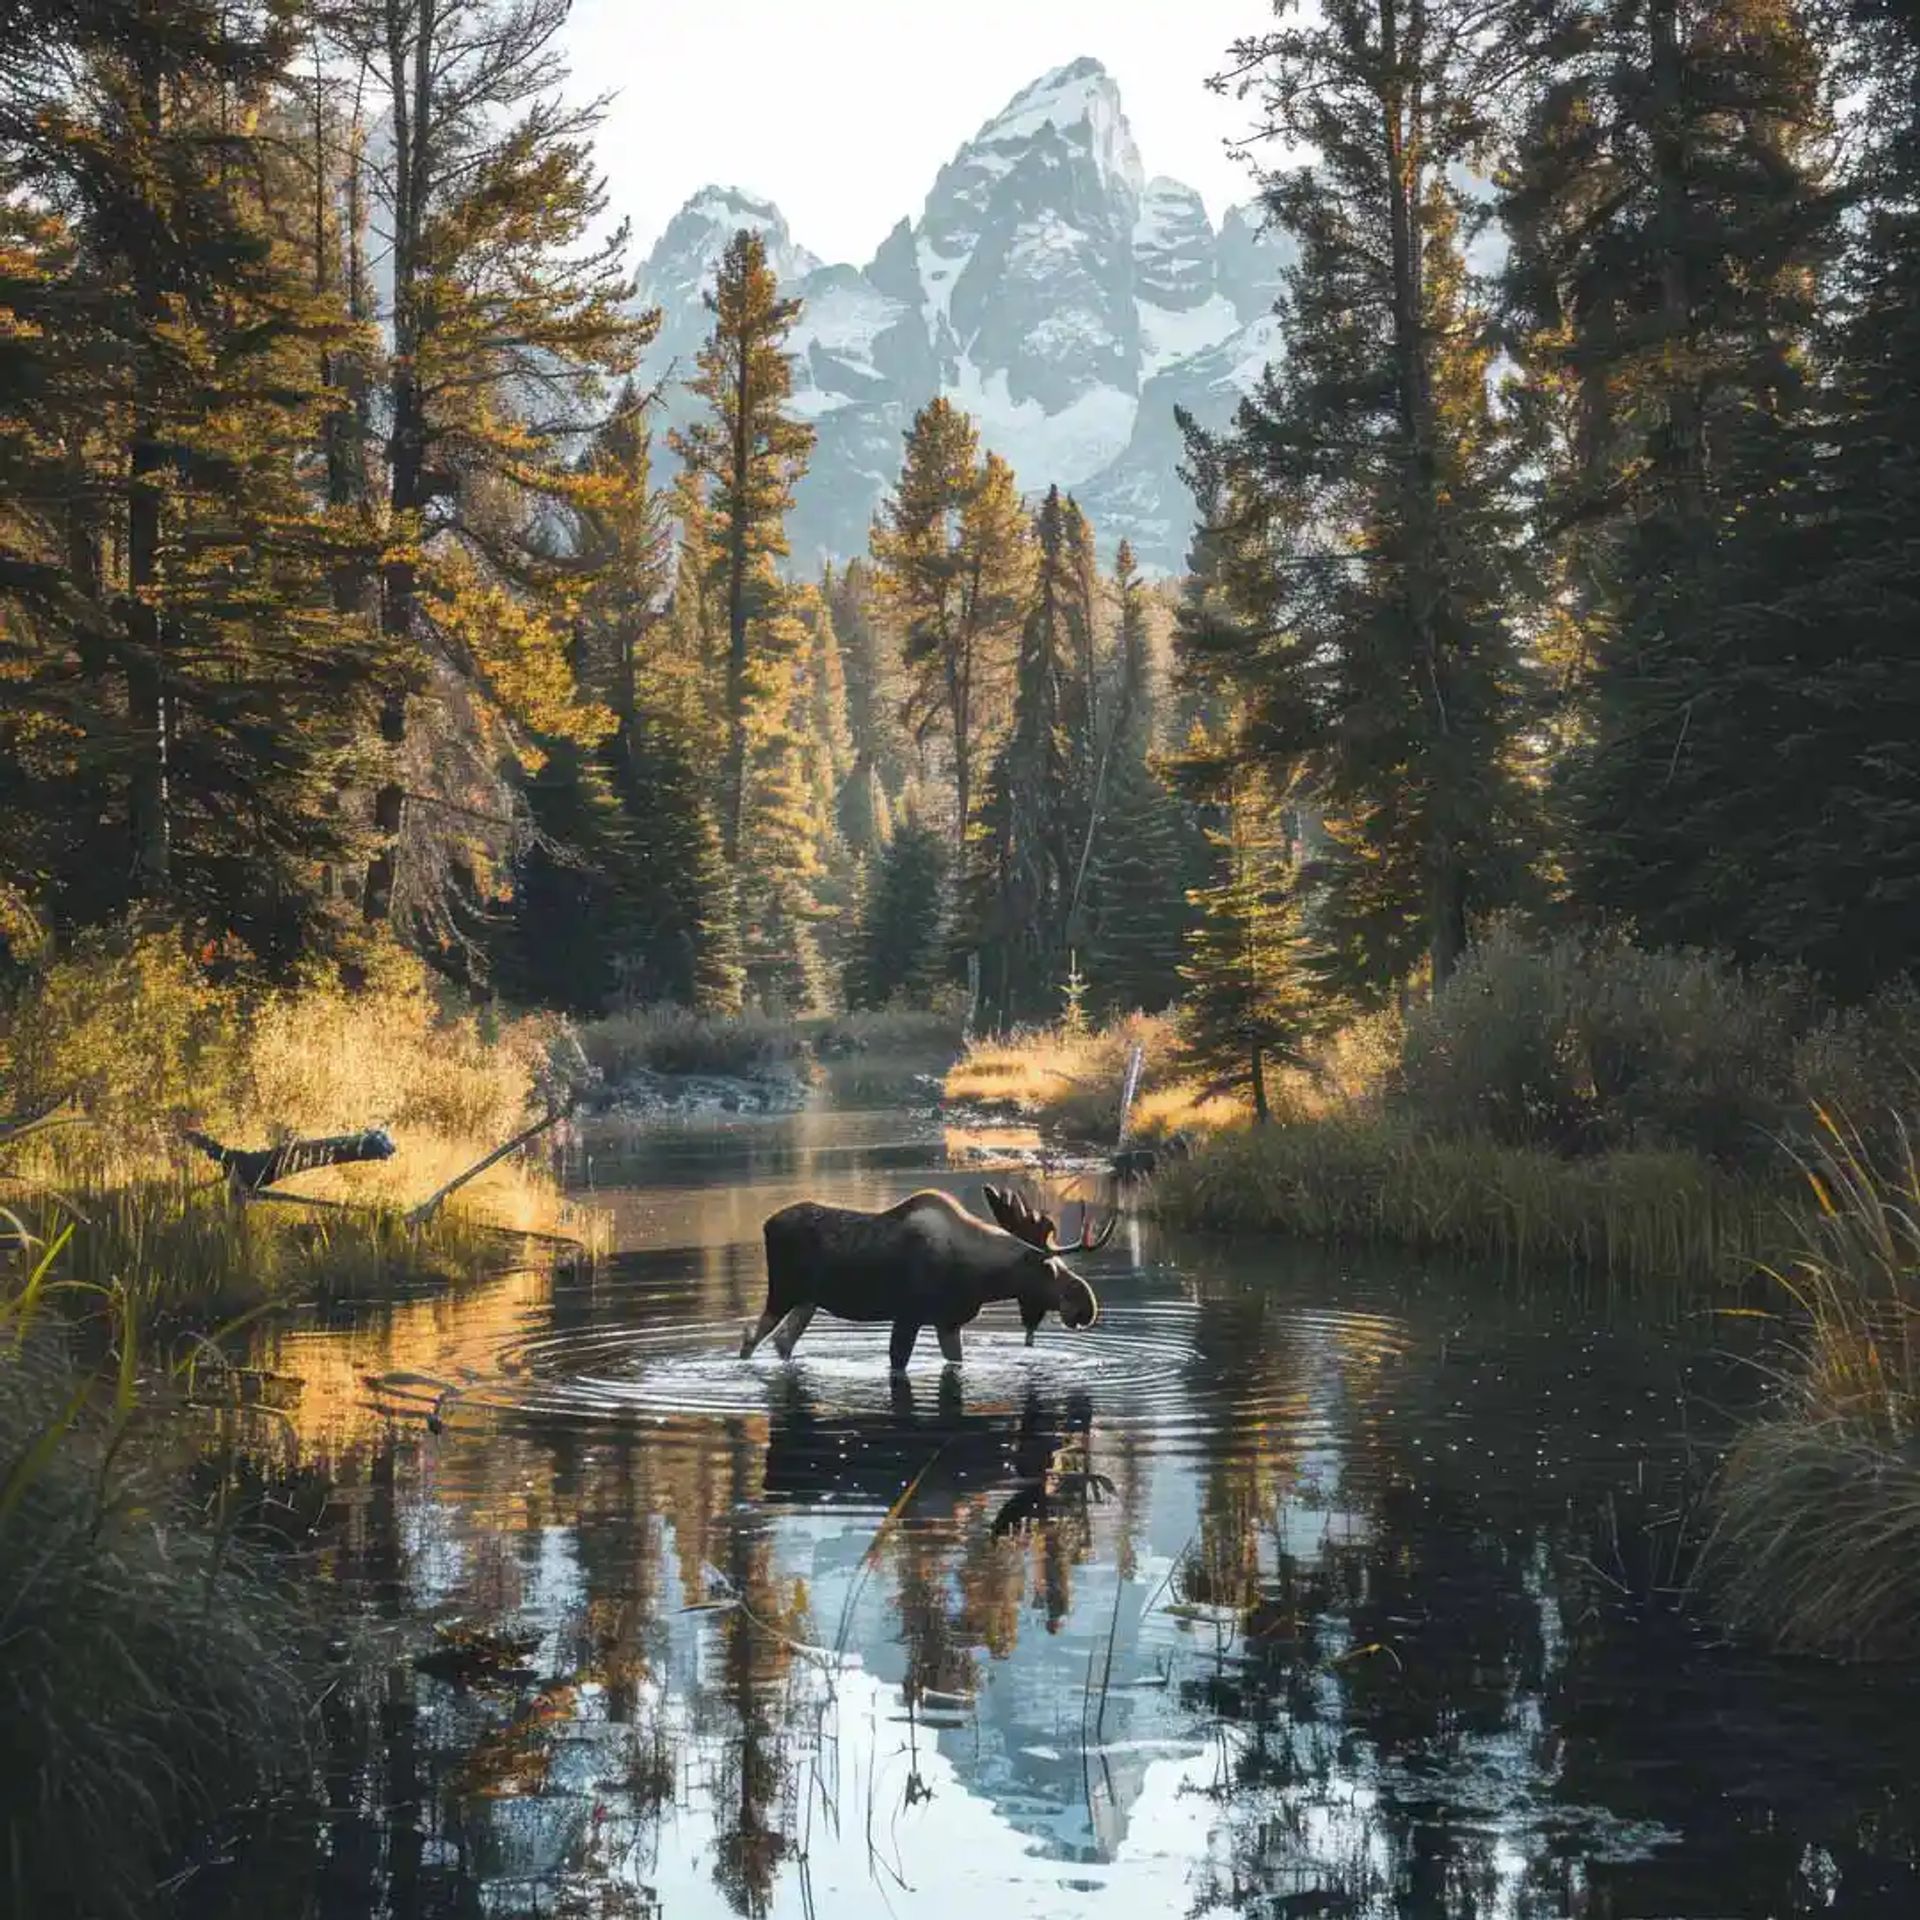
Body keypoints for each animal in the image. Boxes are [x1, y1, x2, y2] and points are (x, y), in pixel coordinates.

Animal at [741, 1184, 1116, 1371]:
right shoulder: (908, 1316)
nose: (1086, 1306)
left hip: (808, 1301)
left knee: (782, 1341)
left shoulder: (948, 1322)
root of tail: (766, 1224)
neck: (982, 1278)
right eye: (1049, 1267)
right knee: (750, 1339)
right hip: (782, 1292)